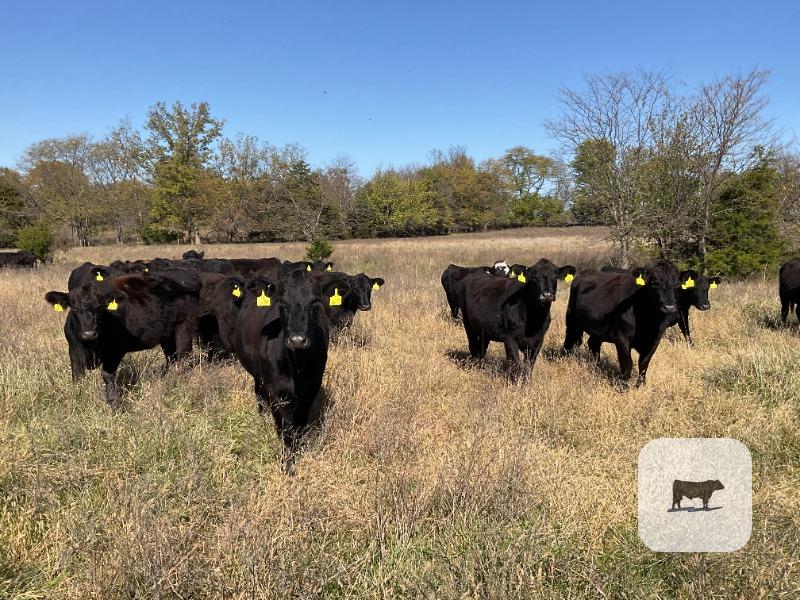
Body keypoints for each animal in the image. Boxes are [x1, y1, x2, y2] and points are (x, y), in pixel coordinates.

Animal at [45, 270, 201, 403]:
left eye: (99, 308)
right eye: (74, 308)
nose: (89, 333)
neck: (91, 345)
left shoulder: (115, 351)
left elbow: (107, 375)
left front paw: (113, 400)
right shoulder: (74, 350)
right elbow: (77, 375)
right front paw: (78, 396)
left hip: (184, 327)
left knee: (183, 358)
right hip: (167, 336)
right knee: (171, 359)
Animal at [231, 269, 351, 474]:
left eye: (315, 302)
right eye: (281, 303)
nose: (297, 340)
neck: (296, 365)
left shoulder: (312, 386)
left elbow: (299, 423)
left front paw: (298, 449)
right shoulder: (275, 390)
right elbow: (284, 427)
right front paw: (288, 465)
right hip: (258, 377)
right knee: (258, 394)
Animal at [563, 260, 695, 386]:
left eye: (677, 284)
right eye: (654, 283)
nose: (669, 307)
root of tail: (585, 273)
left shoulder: (655, 340)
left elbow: (644, 363)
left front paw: (640, 385)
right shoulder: (622, 338)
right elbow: (627, 365)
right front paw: (624, 386)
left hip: (598, 329)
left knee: (593, 344)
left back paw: (596, 367)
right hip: (571, 321)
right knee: (569, 343)